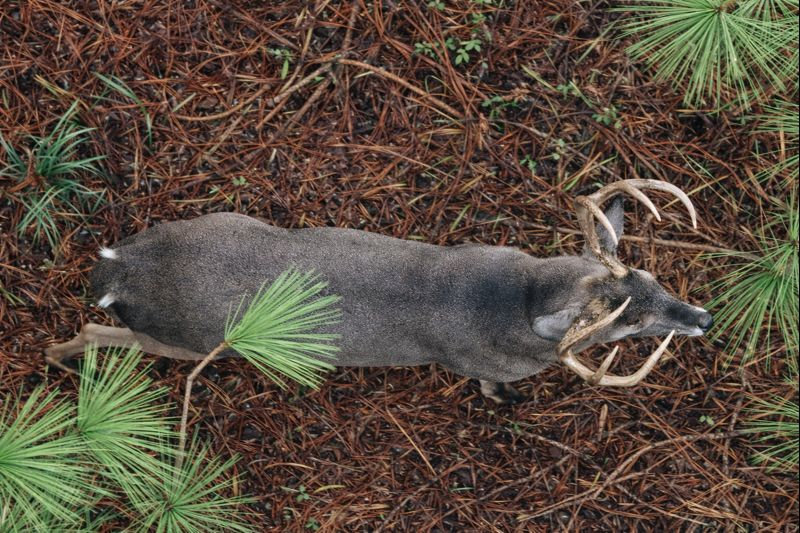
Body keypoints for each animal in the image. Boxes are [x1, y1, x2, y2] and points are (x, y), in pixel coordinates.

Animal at [44, 179, 713, 404]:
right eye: (627, 323)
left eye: (653, 278)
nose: (702, 318)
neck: (517, 300)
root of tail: (121, 268)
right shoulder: (475, 361)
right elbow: (489, 384)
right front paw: (504, 400)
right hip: (191, 338)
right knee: (97, 330)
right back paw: (57, 359)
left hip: (223, 220)